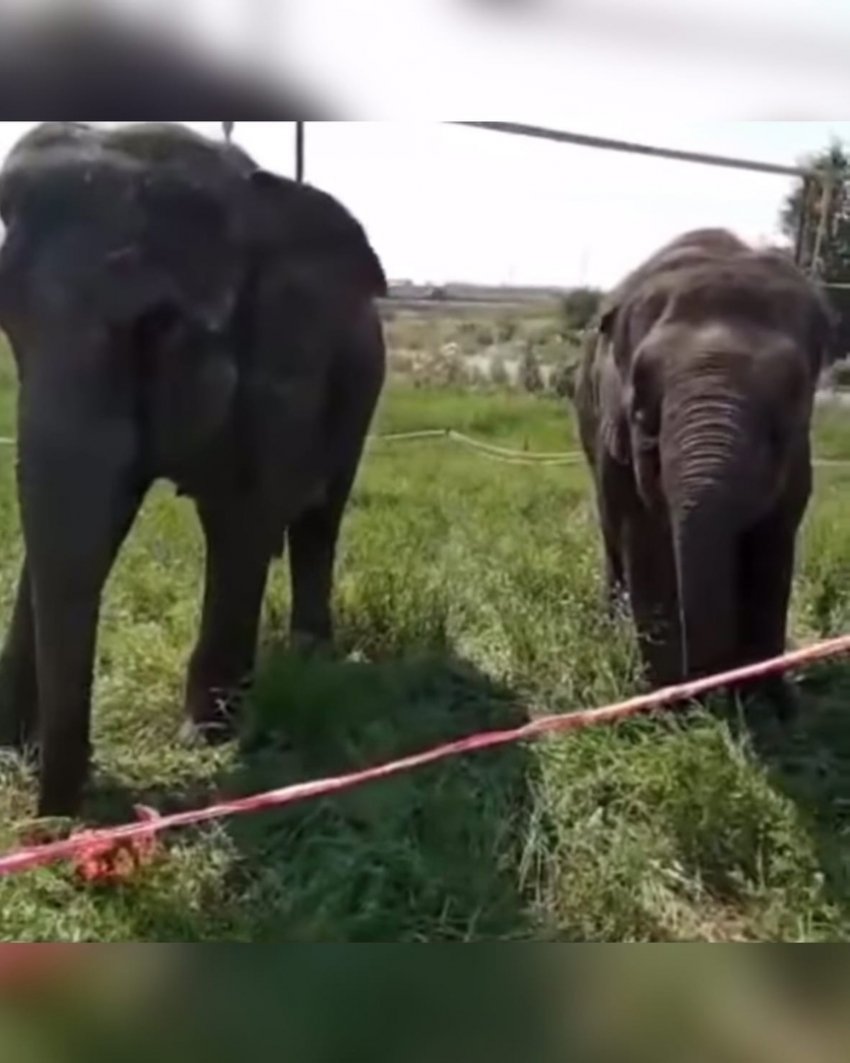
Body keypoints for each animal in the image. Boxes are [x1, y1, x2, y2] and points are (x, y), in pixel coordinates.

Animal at [0, 120, 386, 812]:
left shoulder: (283, 358)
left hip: (362, 395)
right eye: (8, 323)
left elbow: (243, 517)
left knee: (319, 521)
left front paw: (205, 740)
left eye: (159, 325)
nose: (61, 818)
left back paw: (310, 659)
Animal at [573, 227, 833, 710]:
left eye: (791, 398)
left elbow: (773, 543)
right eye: (642, 408)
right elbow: (645, 541)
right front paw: (671, 707)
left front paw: (768, 703)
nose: (713, 691)